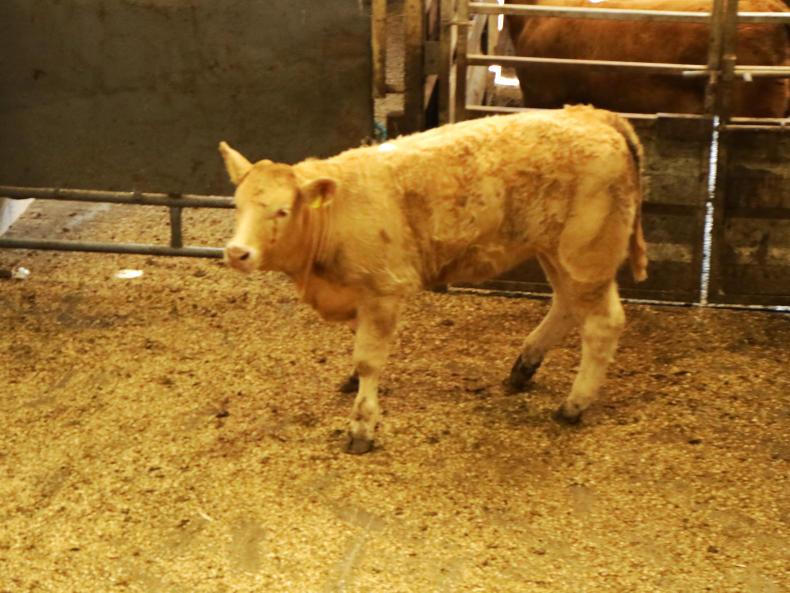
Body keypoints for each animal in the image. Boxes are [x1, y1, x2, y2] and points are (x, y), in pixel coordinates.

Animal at [219, 105, 648, 454]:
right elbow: (360, 349)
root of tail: (593, 116)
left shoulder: (385, 290)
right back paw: (523, 368)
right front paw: (351, 382)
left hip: (586, 254)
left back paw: (572, 406)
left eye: (282, 210)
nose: (237, 252)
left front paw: (362, 426)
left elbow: (369, 360)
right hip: (555, 251)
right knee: (566, 304)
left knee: (602, 324)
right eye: (236, 205)